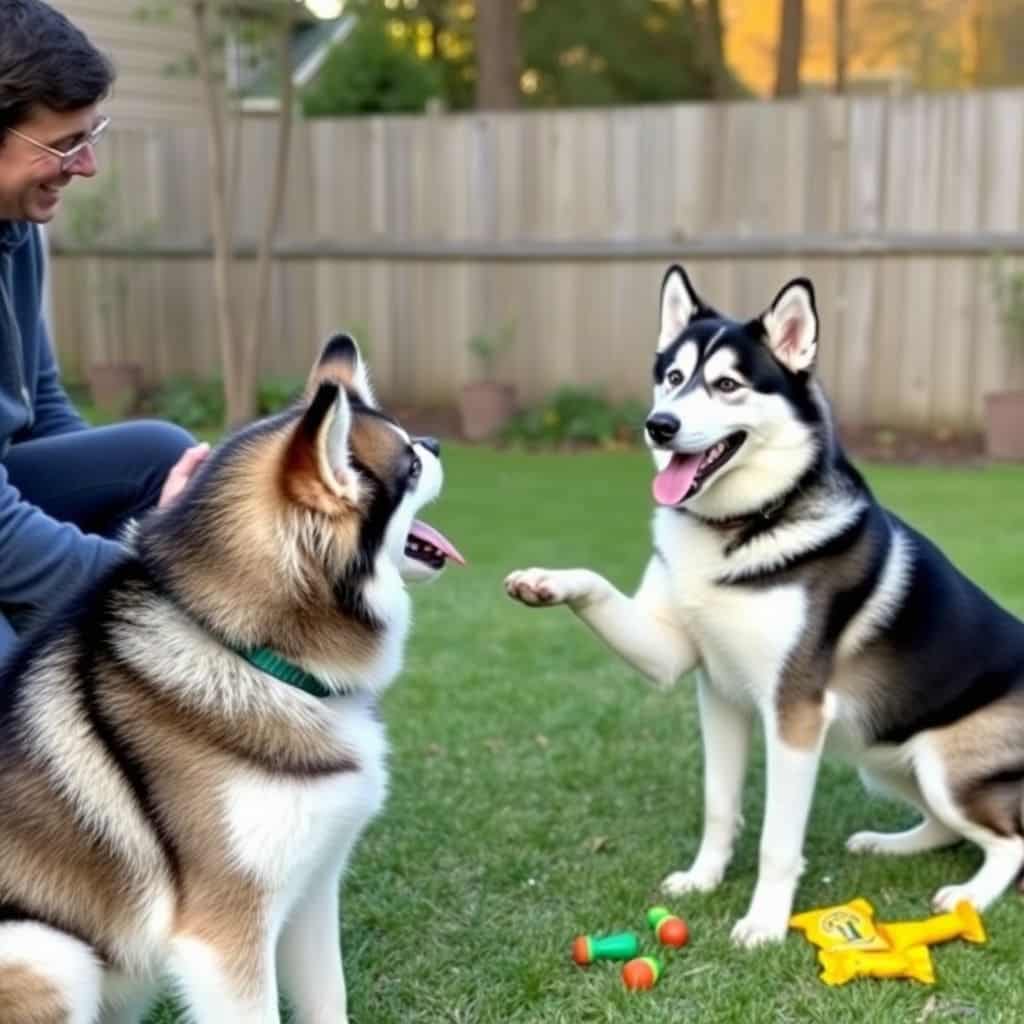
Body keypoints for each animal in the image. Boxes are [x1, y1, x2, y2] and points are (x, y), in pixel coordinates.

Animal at [0, 331, 464, 1019]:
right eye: (407, 465)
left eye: (414, 446)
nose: (434, 443)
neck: (255, 658)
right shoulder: (224, 933)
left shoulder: (311, 890)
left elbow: (329, 997)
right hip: (55, 956)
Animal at [507, 264, 1024, 942]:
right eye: (674, 378)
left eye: (727, 385)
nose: (659, 425)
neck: (740, 527)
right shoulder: (705, 680)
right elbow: (719, 804)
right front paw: (702, 879)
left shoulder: (795, 713)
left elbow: (779, 840)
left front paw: (764, 924)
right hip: (883, 753)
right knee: (946, 828)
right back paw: (889, 844)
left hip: (942, 765)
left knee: (1008, 842)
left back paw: (969, 896)